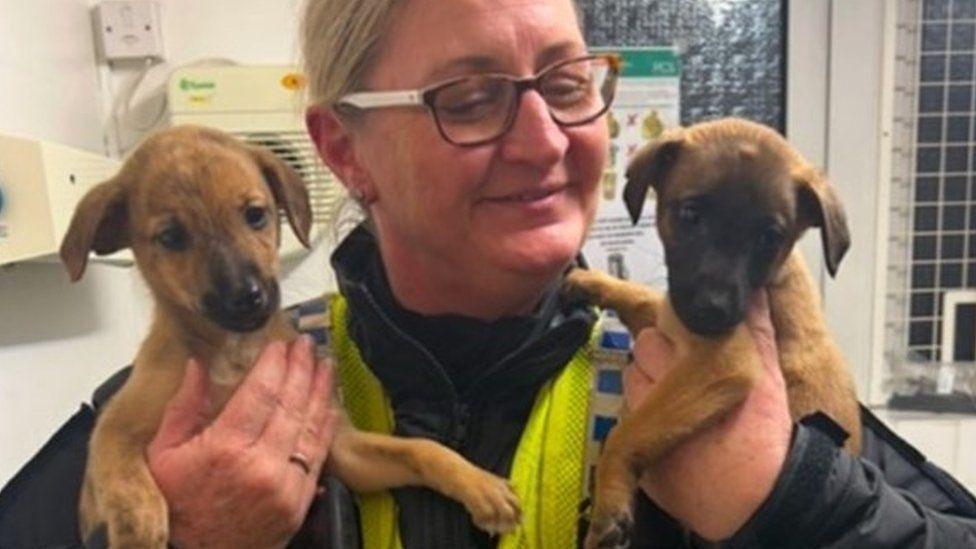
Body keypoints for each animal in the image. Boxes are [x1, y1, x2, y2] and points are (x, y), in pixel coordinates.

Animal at [60, 125, 520, 548]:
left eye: (255, 214)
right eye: (171, 237)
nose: (247, 297)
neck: (233, 354)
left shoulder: (343, 450)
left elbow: (419, 449)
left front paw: (479, 485)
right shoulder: (115, 425)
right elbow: (125, 481)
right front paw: (138, 528)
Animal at [564, 117, 860, 544]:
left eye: (769, 237)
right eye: (690, 214)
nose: (712, 309)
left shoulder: (722, 363)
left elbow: (624, 434)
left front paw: (609, 503)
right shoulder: (674, 315)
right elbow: (644, 298)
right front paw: (591, 282)